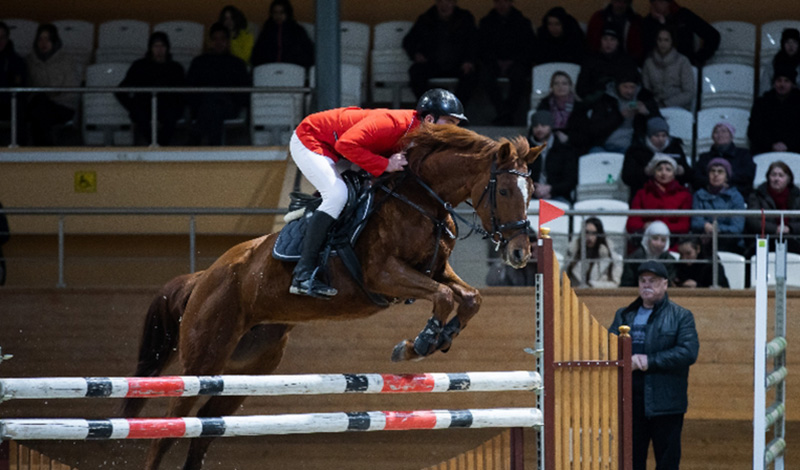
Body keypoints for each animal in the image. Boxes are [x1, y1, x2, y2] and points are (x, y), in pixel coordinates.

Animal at [128, 123, 540, 468]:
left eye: (532, 192)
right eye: (505, 190)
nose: (521, 252)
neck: (422, 198)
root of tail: (203, 277)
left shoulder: (435, 270)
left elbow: (469, 297)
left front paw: (443, 336)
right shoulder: (383, 274)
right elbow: (442, 297)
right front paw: (418, 344)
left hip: (248, 366)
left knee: (204, 428)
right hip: (203, 359)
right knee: (168, 431)